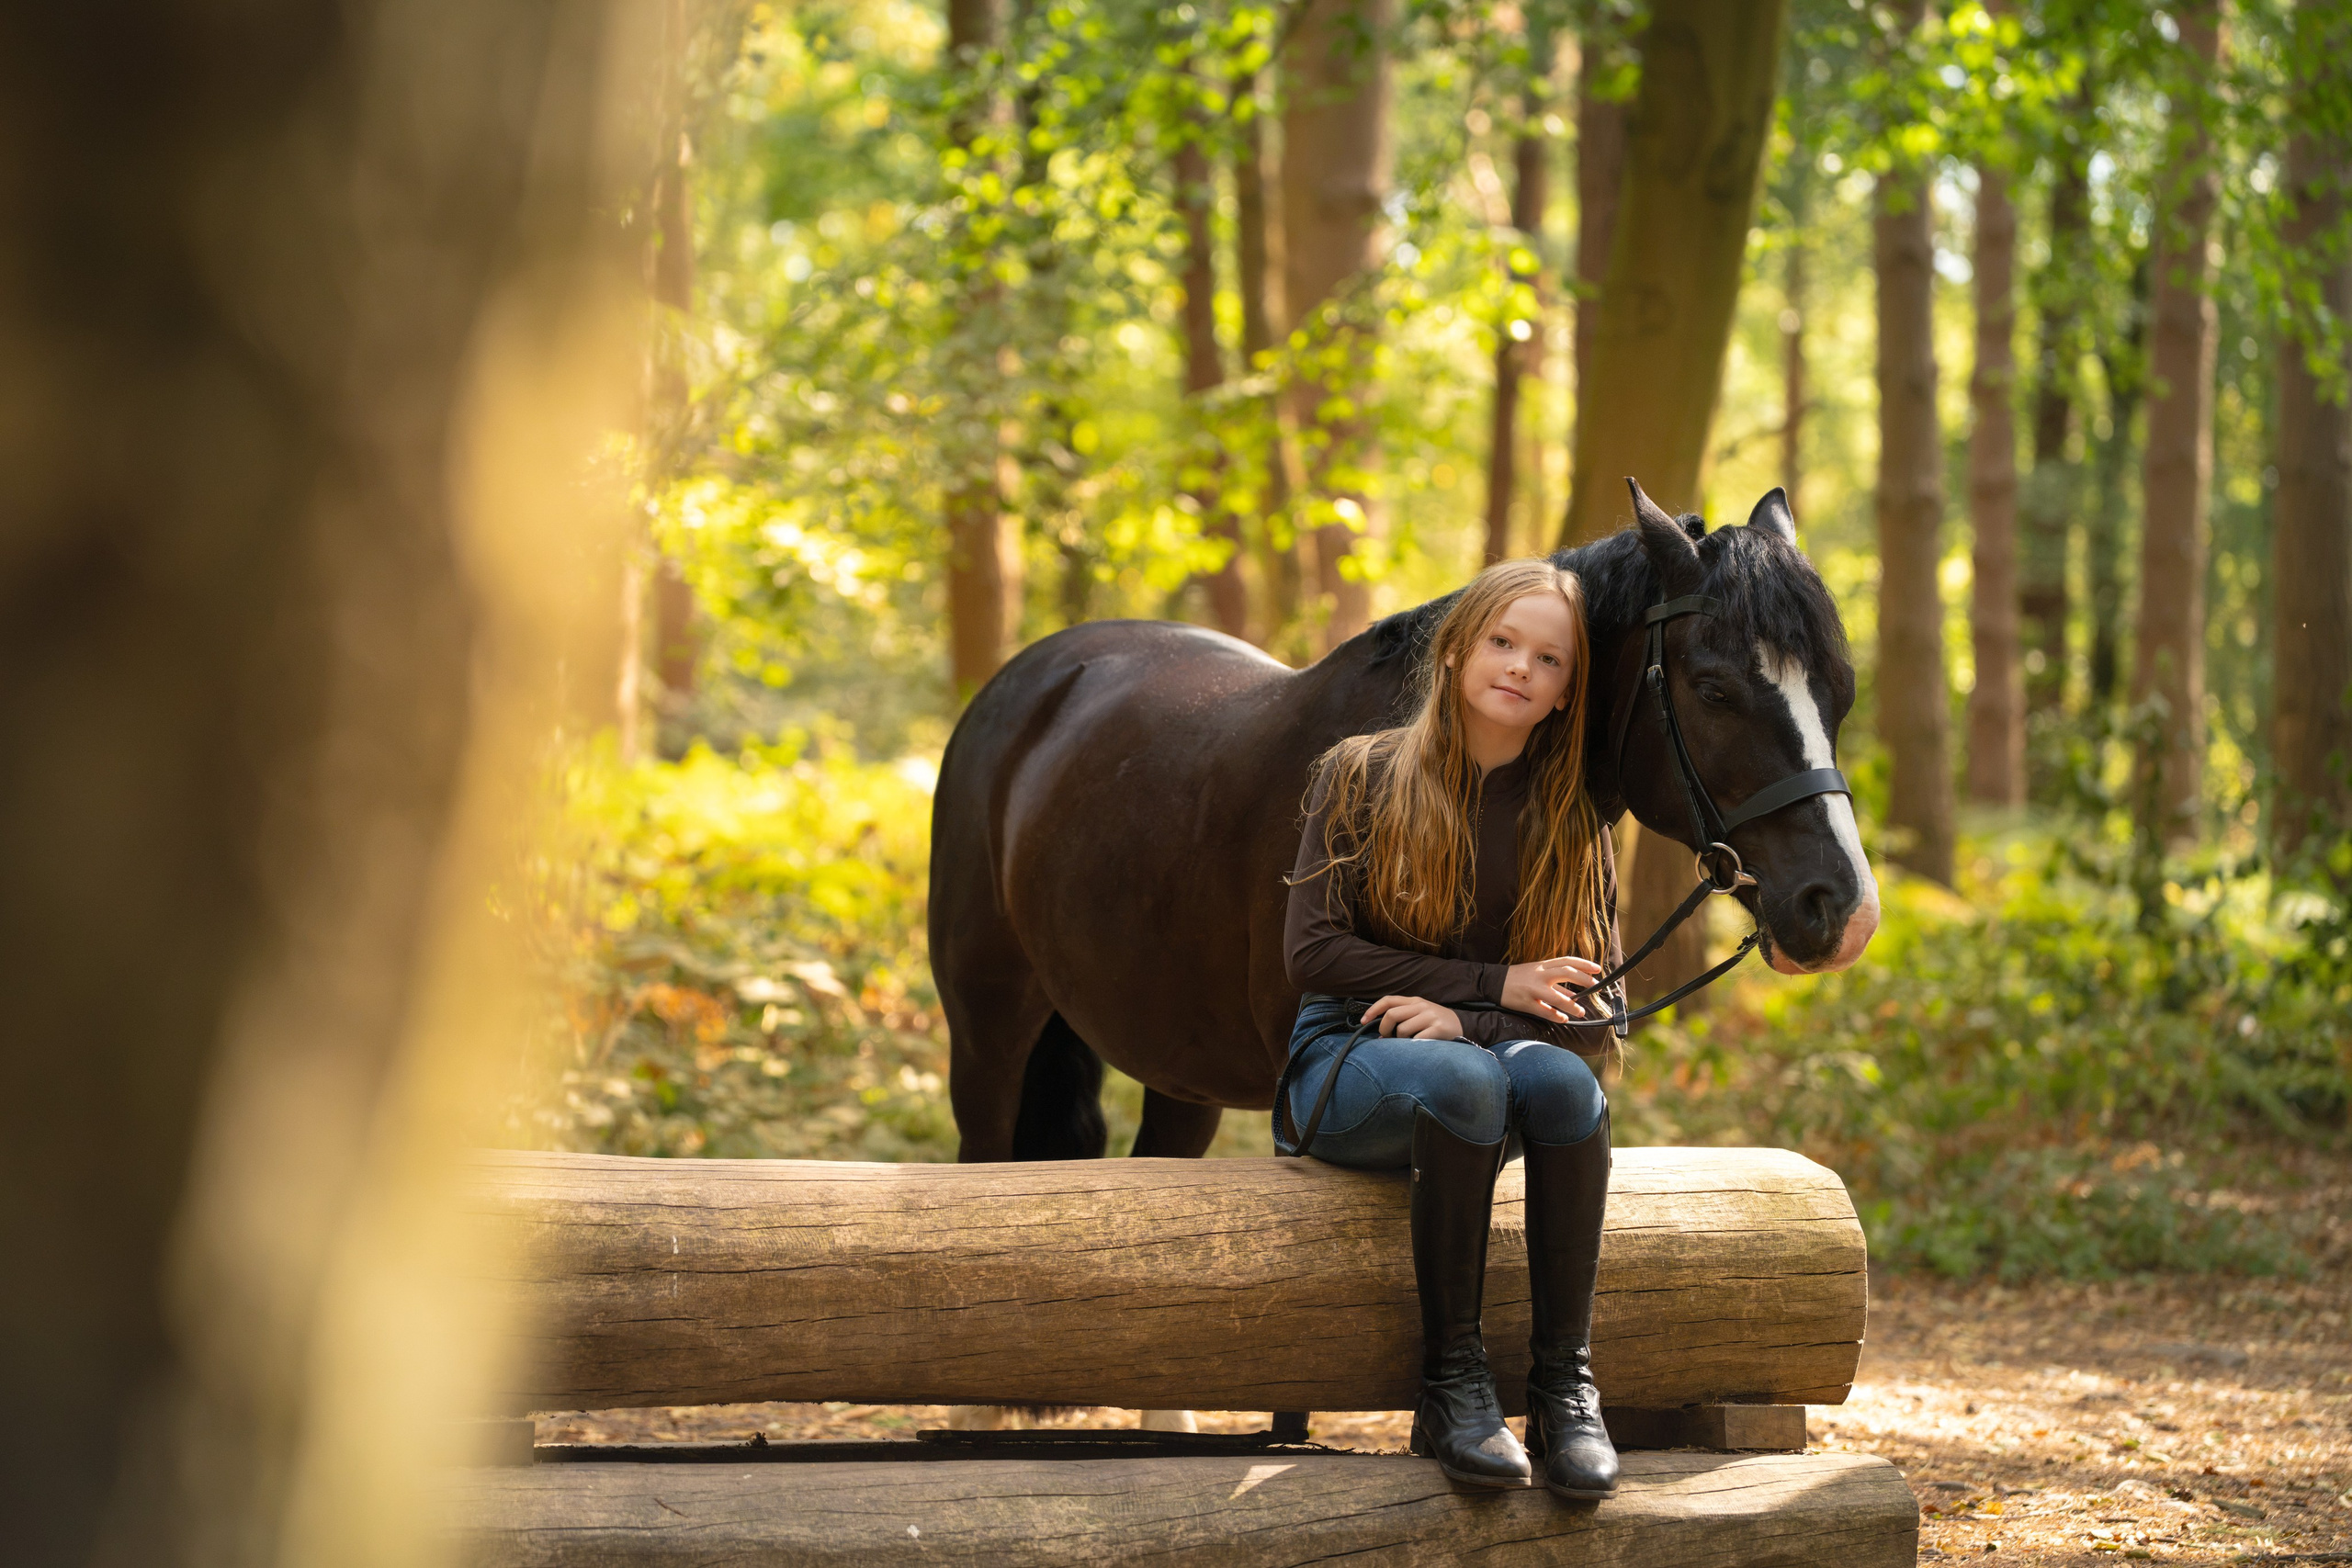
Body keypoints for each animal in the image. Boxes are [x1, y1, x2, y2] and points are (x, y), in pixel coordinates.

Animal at [928, 482, 1881, 1163]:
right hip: (986, 1039)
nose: (1843, 909)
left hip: (1180, 1074)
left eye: (1840, 692)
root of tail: (1036, 675)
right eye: (1714, 689)